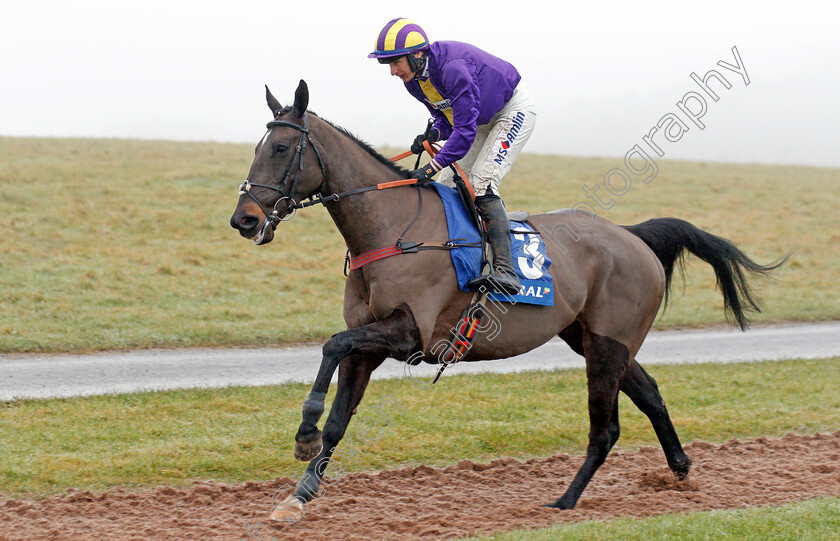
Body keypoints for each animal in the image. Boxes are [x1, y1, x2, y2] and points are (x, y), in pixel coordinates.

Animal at [228, 80, 780, 520]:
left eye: (281, 147)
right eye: (257, 146)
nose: (245, 219)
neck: (393, 226)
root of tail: (632, 235)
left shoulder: (408, 332)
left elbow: (331, 344)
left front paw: (303, 432)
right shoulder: (370, 344)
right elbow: (339, 416)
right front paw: (297, 496)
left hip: (608, 344)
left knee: (606, 428)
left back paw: (565, 501)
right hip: (592, 337)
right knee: (650, 395)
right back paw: (681, 470)